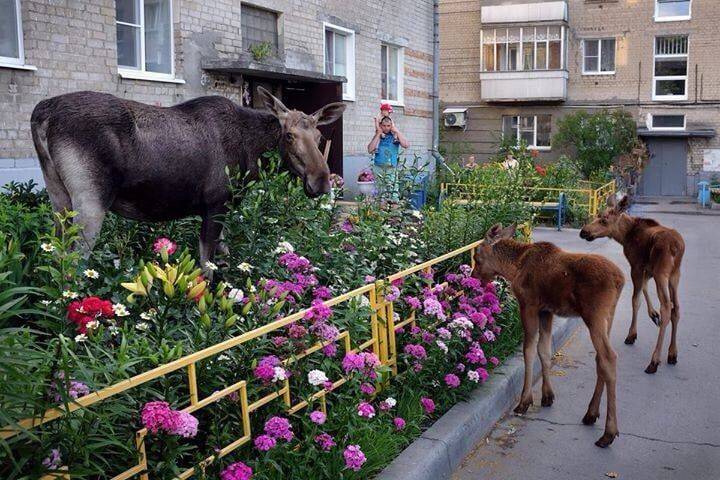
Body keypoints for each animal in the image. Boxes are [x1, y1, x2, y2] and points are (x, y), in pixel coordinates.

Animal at [28, 88, 344, 264]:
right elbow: (207, 267)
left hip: (58, 198)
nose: (320, 181)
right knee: (74, 264)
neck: (251, 154)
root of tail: (41, 115)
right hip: (91, 202)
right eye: (288, 135)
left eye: (319, 136)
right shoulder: (216, 203)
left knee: (55, 256)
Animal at [472, 223, 624, 448]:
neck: (513, 267)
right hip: (608, 316)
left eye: (477, 256)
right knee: (600, 358)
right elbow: (544, 350)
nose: (474, 277)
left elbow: (528, 350)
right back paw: (591, 413)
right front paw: (547, 396)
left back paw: (609, 433)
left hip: (594, 314)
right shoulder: (547, 311)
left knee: (609, 357)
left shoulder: (529, 305)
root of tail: (620, 280)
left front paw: (524, 401)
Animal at [580, 195, 688, 376]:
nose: (583, 232)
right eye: (598, 215)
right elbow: (644, 288)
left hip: (662, 273)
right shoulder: (647, 268)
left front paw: (632, 334)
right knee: (676, 307)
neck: (624, 236)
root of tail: (676, 247)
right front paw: (653, 314)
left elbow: (635, 300)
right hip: (675, 274)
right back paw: (672, 353)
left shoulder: (636, 265)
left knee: (667, 306)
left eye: (604, 220)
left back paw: (654, 361)